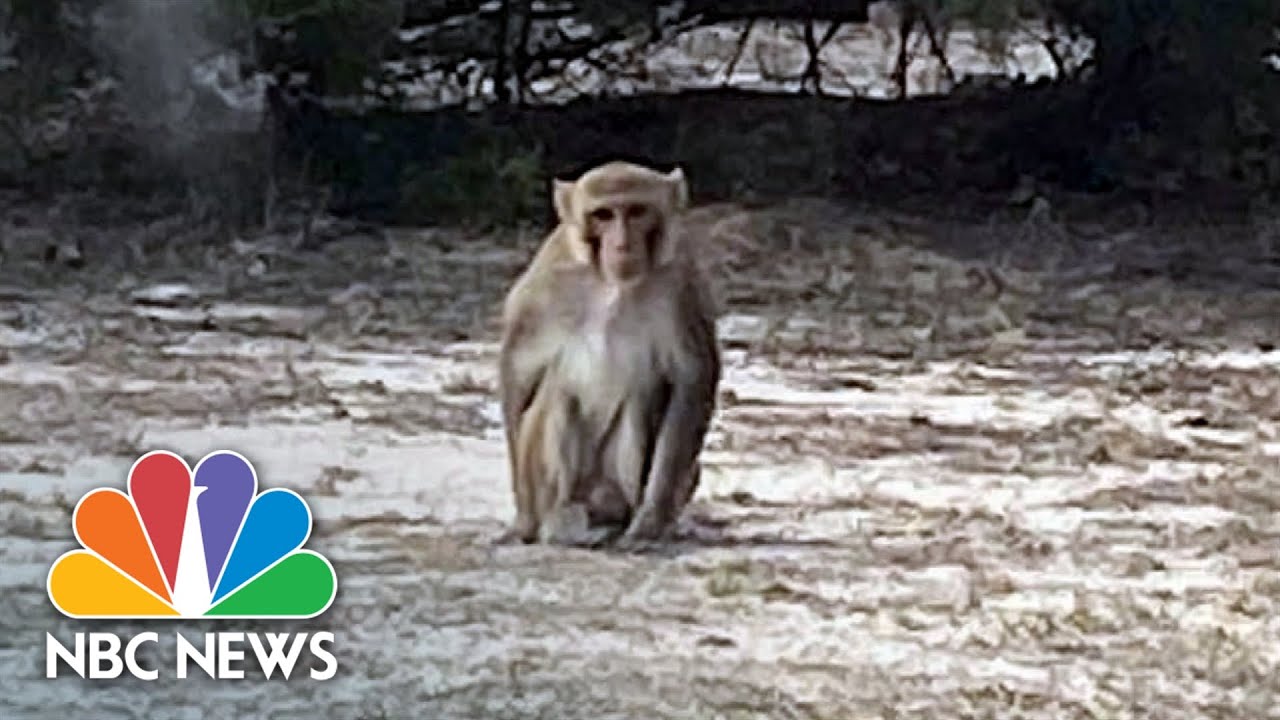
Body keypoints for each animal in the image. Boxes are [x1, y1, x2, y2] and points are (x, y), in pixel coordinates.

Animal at [496, 160, 721, 550]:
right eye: (603, 215)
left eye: (636, 211)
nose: (622, 244)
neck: (611, 283)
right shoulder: (547, 280)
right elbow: (518, 372)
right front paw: (523, 520)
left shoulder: (680, 281)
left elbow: (691, 379)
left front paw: (649, 522)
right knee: (558, 393)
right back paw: (561, 520)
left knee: (637, 401)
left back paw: (618, 518)